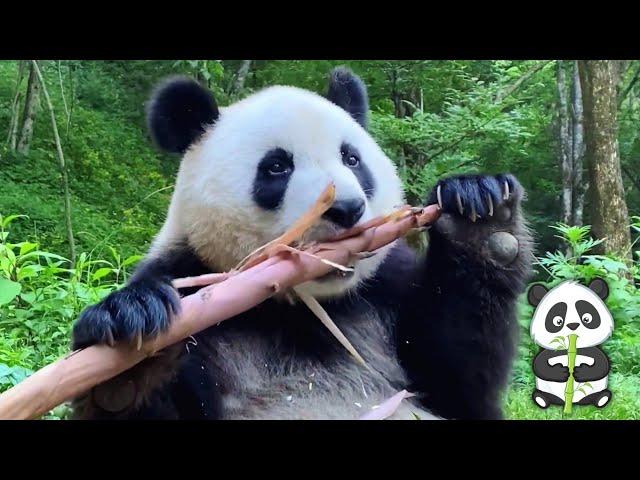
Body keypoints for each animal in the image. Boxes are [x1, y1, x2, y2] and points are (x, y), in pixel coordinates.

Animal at [70, 67, 532, 420]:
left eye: (352, 159)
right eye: (277, 167)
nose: (346, 209)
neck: (299, 308)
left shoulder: (385, 288)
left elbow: (457, 384)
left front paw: (479, 212)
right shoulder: (191, 275)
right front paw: (130, 341)